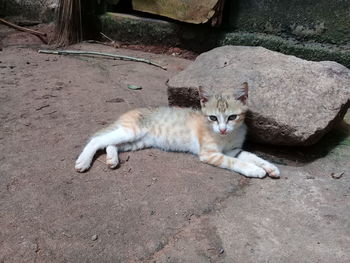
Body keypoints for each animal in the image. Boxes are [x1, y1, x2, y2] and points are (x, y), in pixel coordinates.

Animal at [75, 82, 280, 179]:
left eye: (232, 117)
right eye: (213, 118)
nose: (222, 130)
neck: (227, 137)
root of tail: (132, 110)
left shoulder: (233, 149)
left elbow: (250, 155)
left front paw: (269, 166)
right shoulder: (211, 154)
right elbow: (234, 162)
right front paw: (254, 170)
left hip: (137, 141)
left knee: (111, 144)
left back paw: (112, 159)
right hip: (130, 131)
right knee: (96, 139)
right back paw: (83, 161)